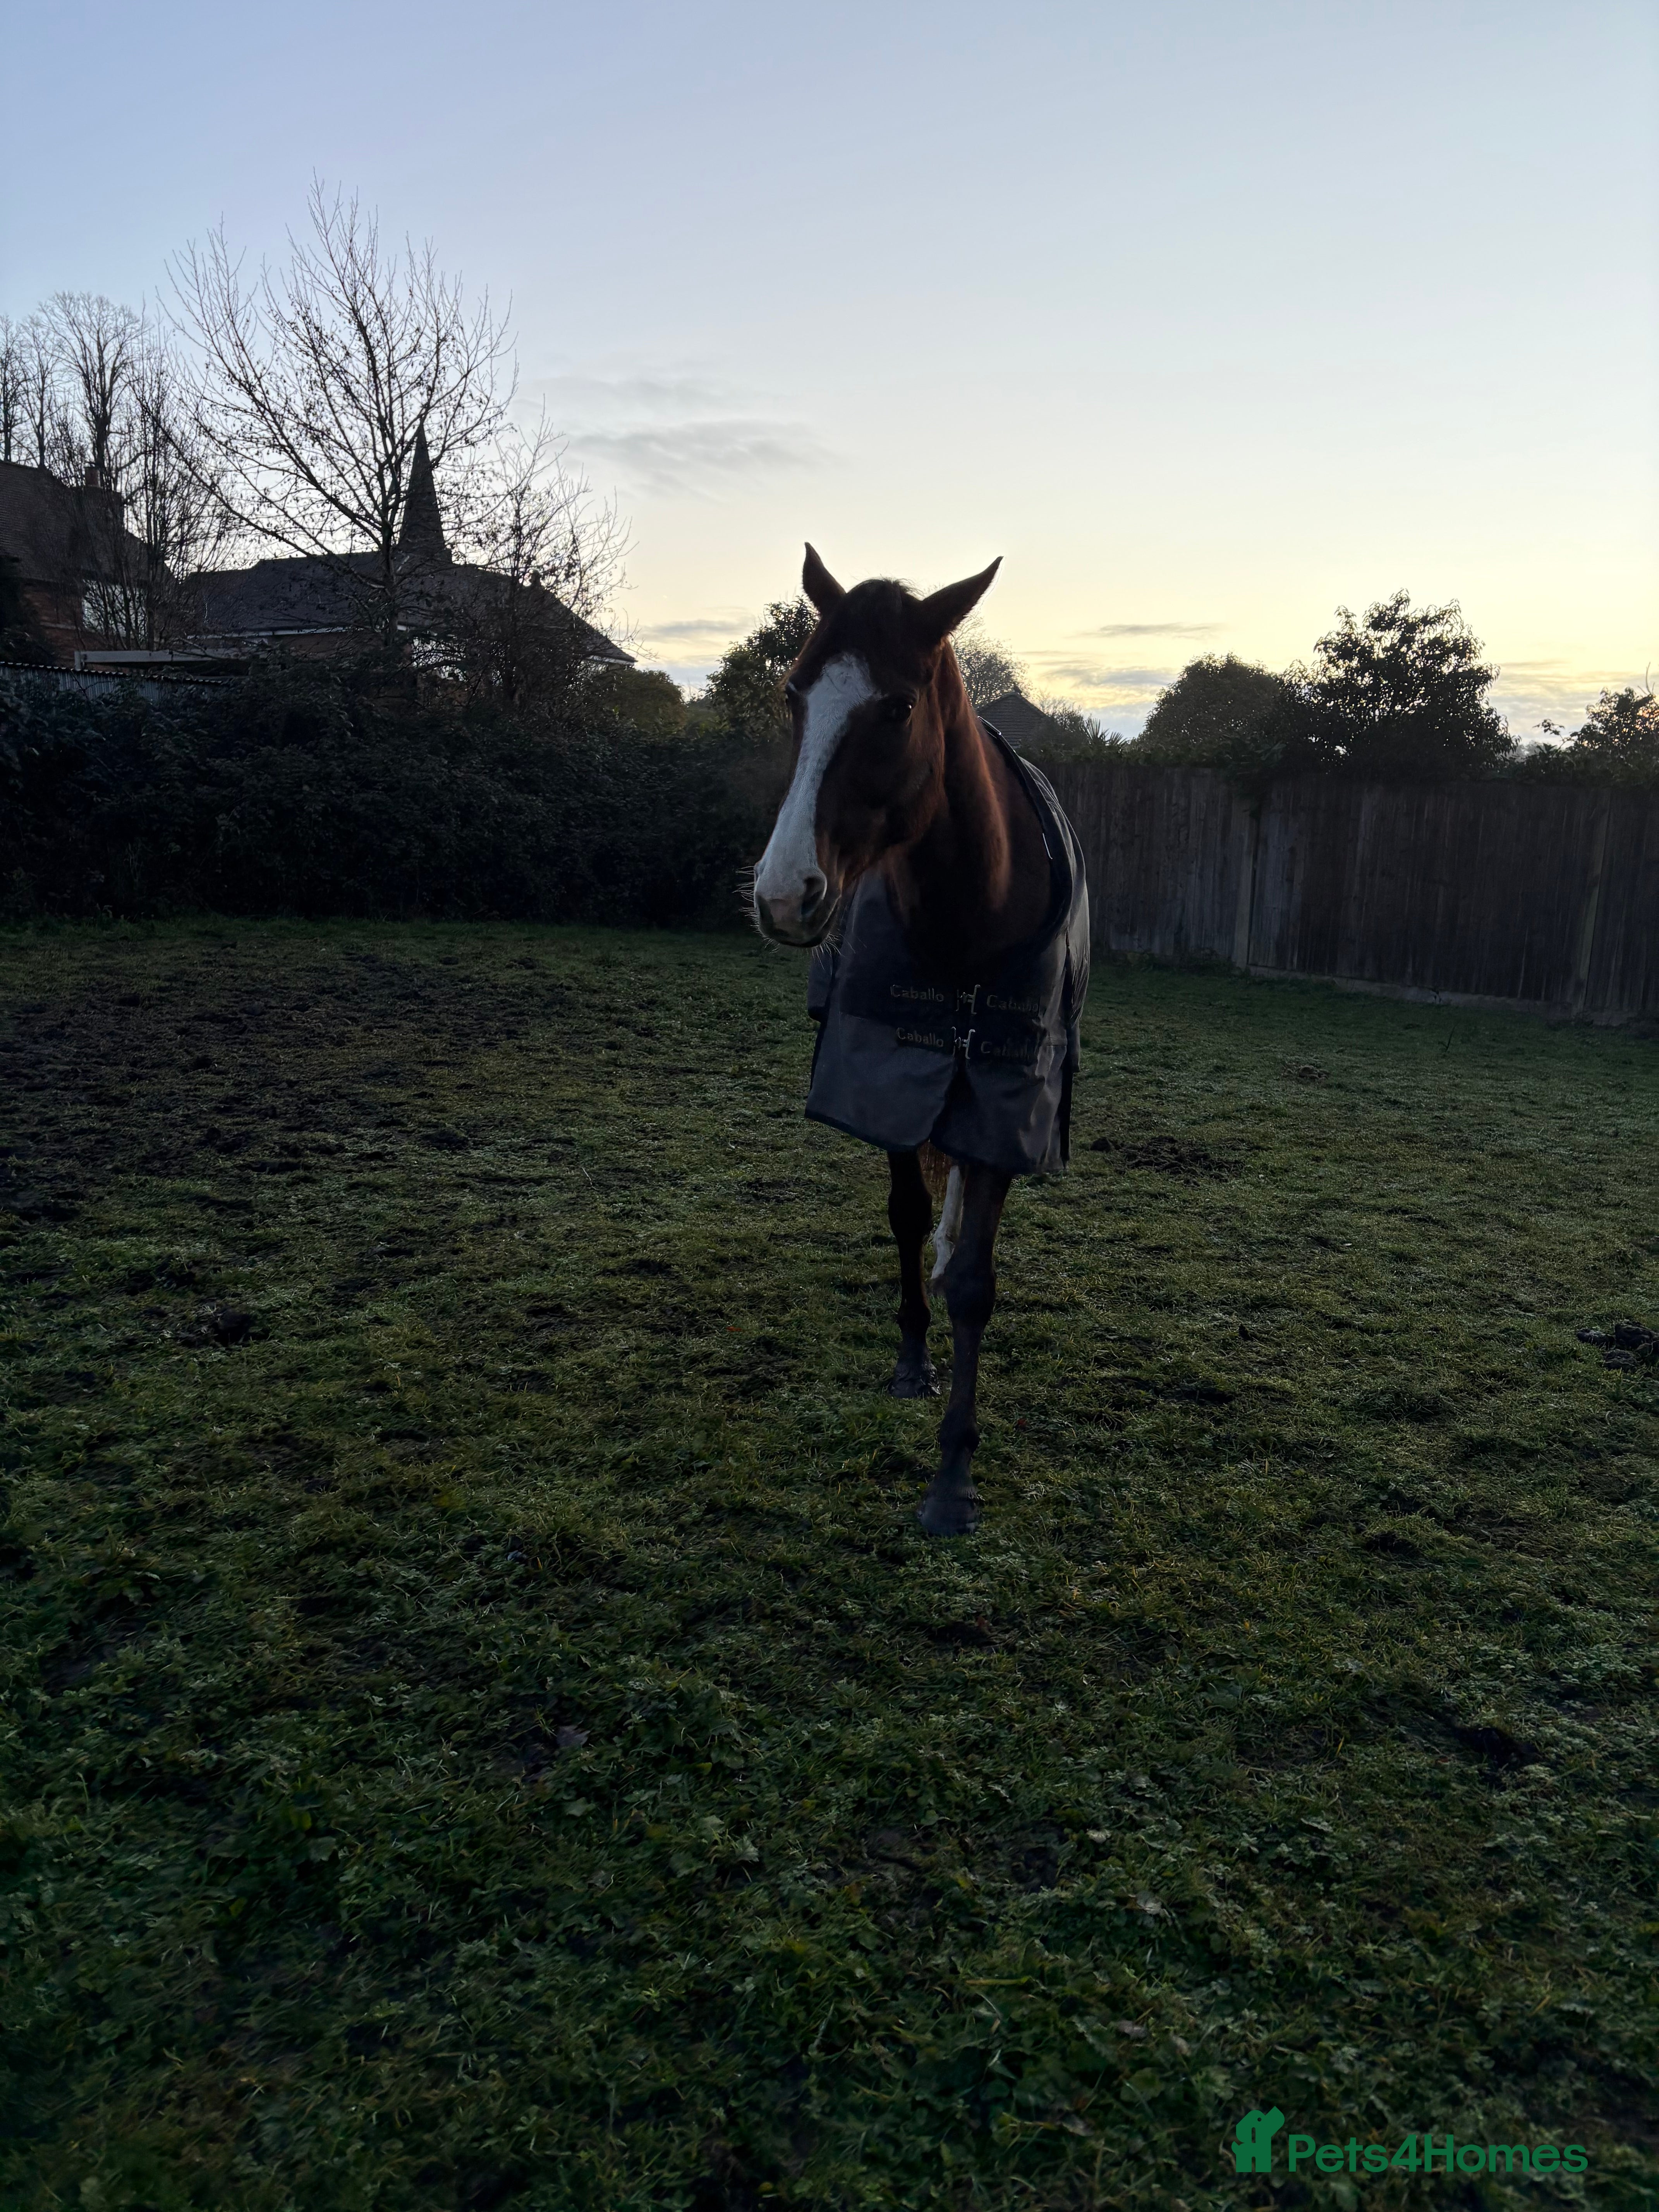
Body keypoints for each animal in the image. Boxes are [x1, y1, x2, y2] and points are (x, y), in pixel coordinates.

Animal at [752, 545, 1090, 1536]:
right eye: (794, 695)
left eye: (897, 708)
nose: (783, 893)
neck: (969, 916)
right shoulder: (890, 1077)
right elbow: (906, 1214)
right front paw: (916, 1366)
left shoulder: (1006, 1107)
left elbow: (977, 1278)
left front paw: (953, 1477)